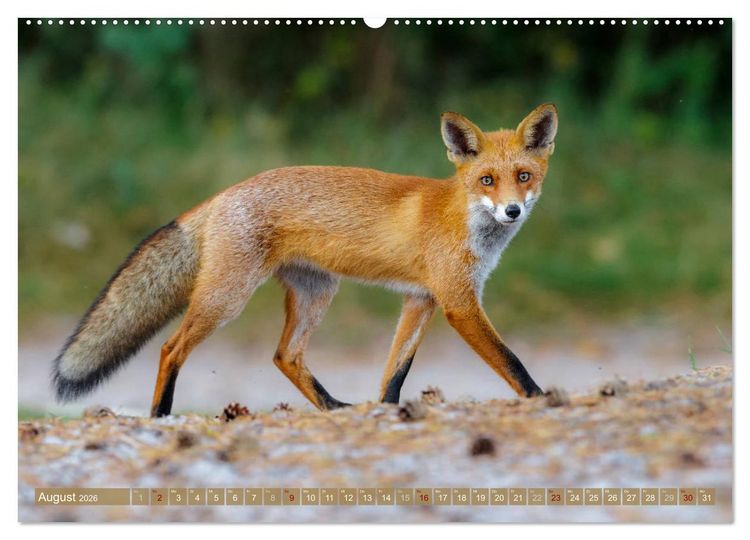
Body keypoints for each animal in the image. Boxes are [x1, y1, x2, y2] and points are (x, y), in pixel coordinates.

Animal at [52, 103, 558, 417]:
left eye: (523, 176)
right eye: (487, 180)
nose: (512, 211)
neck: (463, 219)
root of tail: (225, 193)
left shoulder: (422, 300)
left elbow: (394, 374)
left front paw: (388, 413)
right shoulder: (458, 302)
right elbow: (512, 361)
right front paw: (542, 399)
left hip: (317, 294)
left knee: (285, 356)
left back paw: (333, 408)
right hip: (227, 298)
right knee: (170, 348)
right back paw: (160, 415)